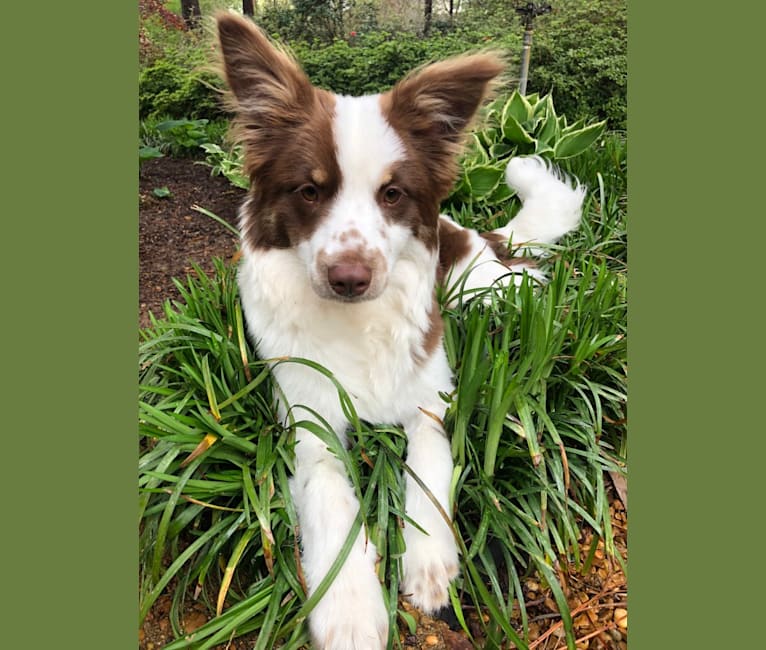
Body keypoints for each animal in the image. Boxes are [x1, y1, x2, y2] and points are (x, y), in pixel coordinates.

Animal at [216, 12, 588, 644]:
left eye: (392, 194)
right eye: (309, 190)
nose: (349, 277)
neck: (355, 321)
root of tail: (483, 235)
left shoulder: (432, 399)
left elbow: (429, 467)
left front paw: (430, 562)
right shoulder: (309, 419)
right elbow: (329, 496)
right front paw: (348, 611)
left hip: (490, 285)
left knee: (532, 281)